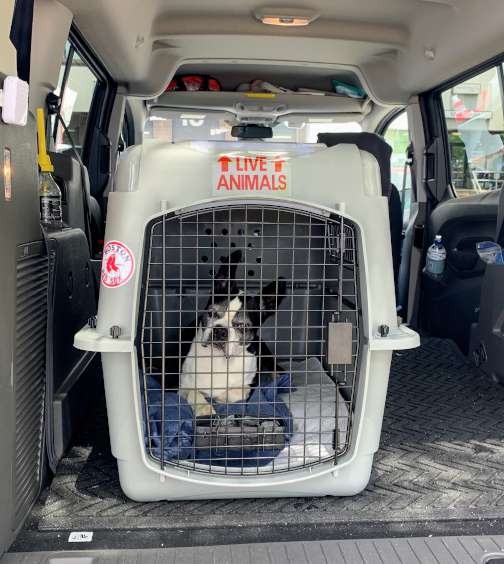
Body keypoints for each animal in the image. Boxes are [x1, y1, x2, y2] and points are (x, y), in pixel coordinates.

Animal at [179, 249, 286, 416]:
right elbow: (193, 391)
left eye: (242, 326)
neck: (220, 359)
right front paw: (204, 408)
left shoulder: (249, 385)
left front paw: (217, 398)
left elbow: (236, 392)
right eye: (212, 313)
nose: (220, 331)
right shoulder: (181, 385)